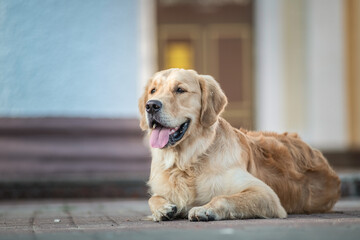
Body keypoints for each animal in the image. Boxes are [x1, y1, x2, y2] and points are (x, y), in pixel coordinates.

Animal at [138, 68, 340, 222]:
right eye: (153, 90)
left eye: (180, 90)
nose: (151, 106)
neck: (187, 161)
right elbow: (153, 198)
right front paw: (163, 208)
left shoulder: (266, 194)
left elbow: (223, 198)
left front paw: (204, 209)